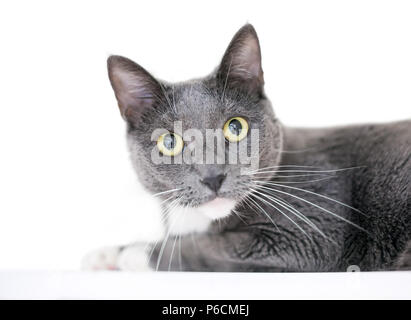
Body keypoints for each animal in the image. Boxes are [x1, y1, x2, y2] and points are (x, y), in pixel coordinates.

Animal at [83, 23, 411, 272]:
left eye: (235, 127)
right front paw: (106, 254)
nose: (212, 176)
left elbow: (207, 247)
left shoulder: (307, 231)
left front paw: (135, 253)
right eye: (170, 142)